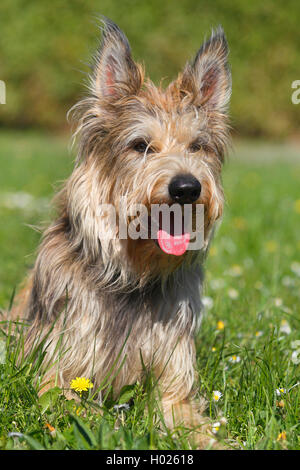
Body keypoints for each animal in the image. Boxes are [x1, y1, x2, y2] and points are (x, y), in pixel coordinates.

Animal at [13, 17, 232, 444]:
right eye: (141, 145)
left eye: (197, 146)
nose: (186, 187)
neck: (132, 276)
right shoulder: (59, 375)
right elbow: (86, 412)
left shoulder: (172, 386)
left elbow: (190, 421)